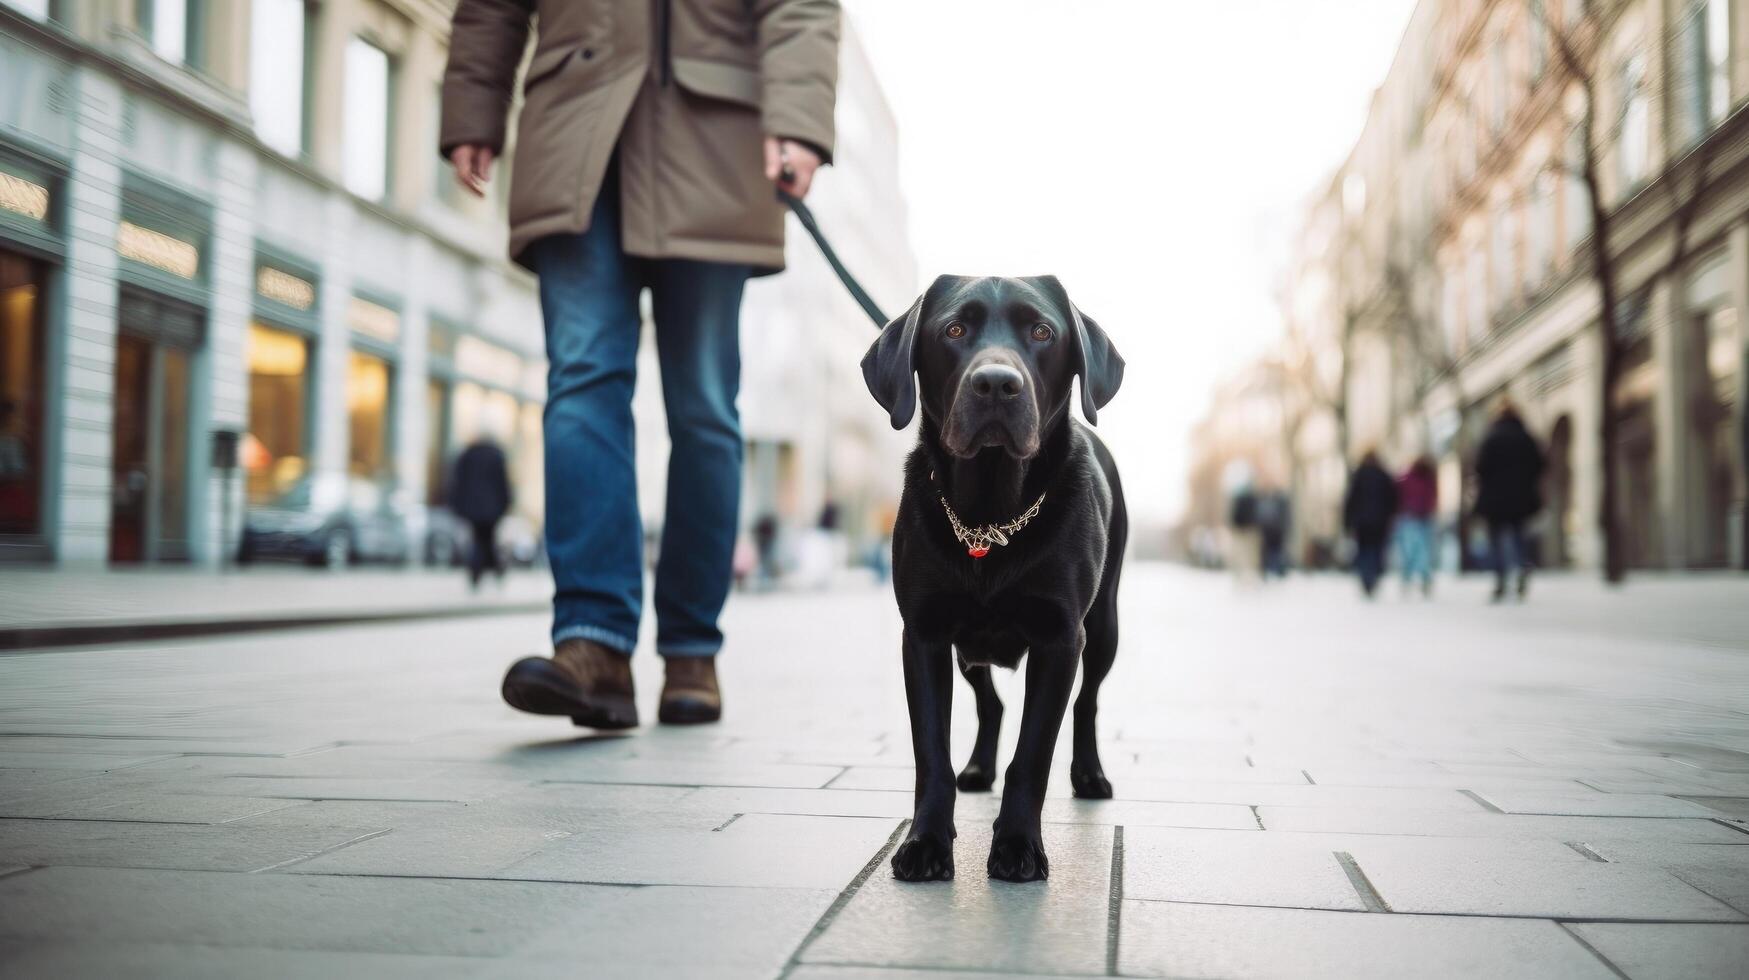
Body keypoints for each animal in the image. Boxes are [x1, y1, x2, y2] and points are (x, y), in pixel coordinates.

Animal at [857, 273, 1126, 882]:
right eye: (954, 330)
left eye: (1043, 331)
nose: (997, 384)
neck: (990, 515)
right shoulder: (925, 635)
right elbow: (931, 753)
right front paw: (927, 843)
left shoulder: (1059, 639)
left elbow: (1033, 757)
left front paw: (1019, 846)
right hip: (968, 645)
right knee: (992, 705)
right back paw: (979, 769)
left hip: (1103, 629)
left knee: (1088, 702)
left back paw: (1090, 774)